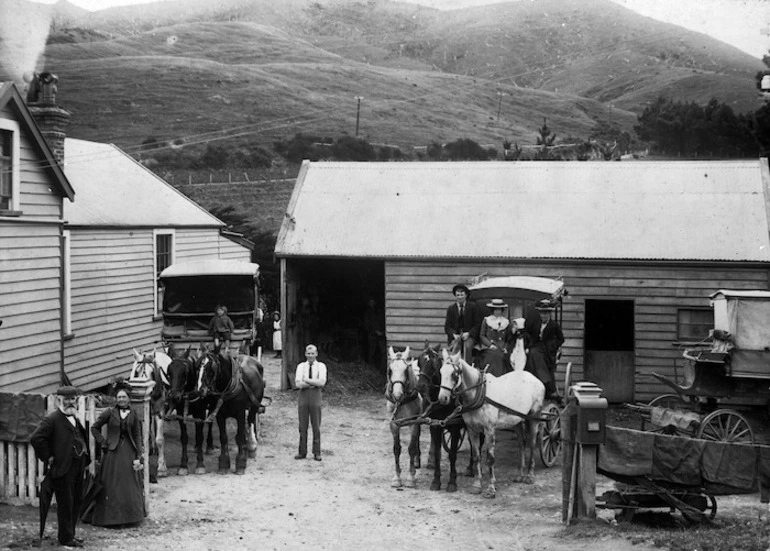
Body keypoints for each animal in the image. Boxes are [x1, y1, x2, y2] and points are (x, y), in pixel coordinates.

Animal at [436, 352, 544, 498]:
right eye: (441, 372)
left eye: (454, 374)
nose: (443, 398)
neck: (479, 392)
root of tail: (534, 378)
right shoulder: (472, 430)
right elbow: (476, 457)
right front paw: (477, 485)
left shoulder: (489, 430)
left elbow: (490, 459)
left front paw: (491, 487)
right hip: (516, 421)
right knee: (521, 444)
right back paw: (520, 474)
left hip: (534, 418)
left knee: (532, 444)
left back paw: (530, 475)